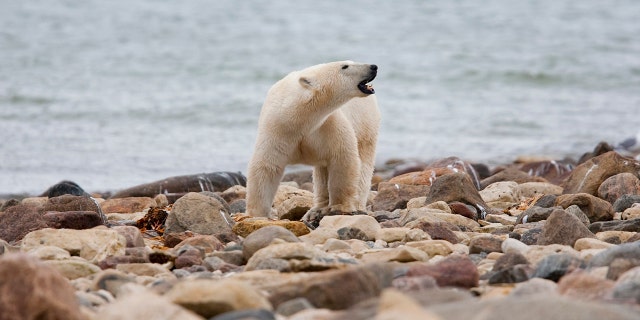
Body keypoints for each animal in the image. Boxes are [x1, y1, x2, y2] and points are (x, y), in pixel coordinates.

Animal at [246, 61, 380, 219]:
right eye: (345, 66)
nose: (373, 66)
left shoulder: (327, 125)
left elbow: (342, 159)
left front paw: (341, 206)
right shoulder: (277, 129)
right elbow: (267, 166)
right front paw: (258, 213)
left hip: (366, 125)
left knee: (364, 164)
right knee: (322, 171)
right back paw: (317, 209)